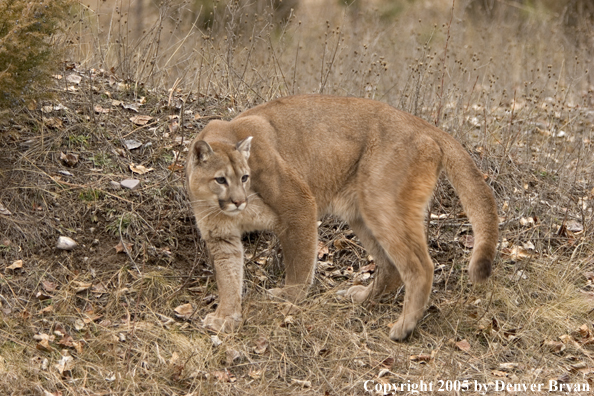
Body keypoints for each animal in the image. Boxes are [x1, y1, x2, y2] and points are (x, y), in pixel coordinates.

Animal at [185, 94, 494, 342]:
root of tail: (421, 123)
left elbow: (299, 264)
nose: (238, 201)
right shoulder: (222, 238)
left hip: (380, 204)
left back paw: (404, 327)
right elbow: (228, 279)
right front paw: (225, 317)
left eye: (245, 177)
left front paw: (289, 298)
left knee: (420, 266)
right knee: (391, 267)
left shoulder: (299, 206)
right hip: (361, 213)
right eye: (221, 179)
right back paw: (362, 299)